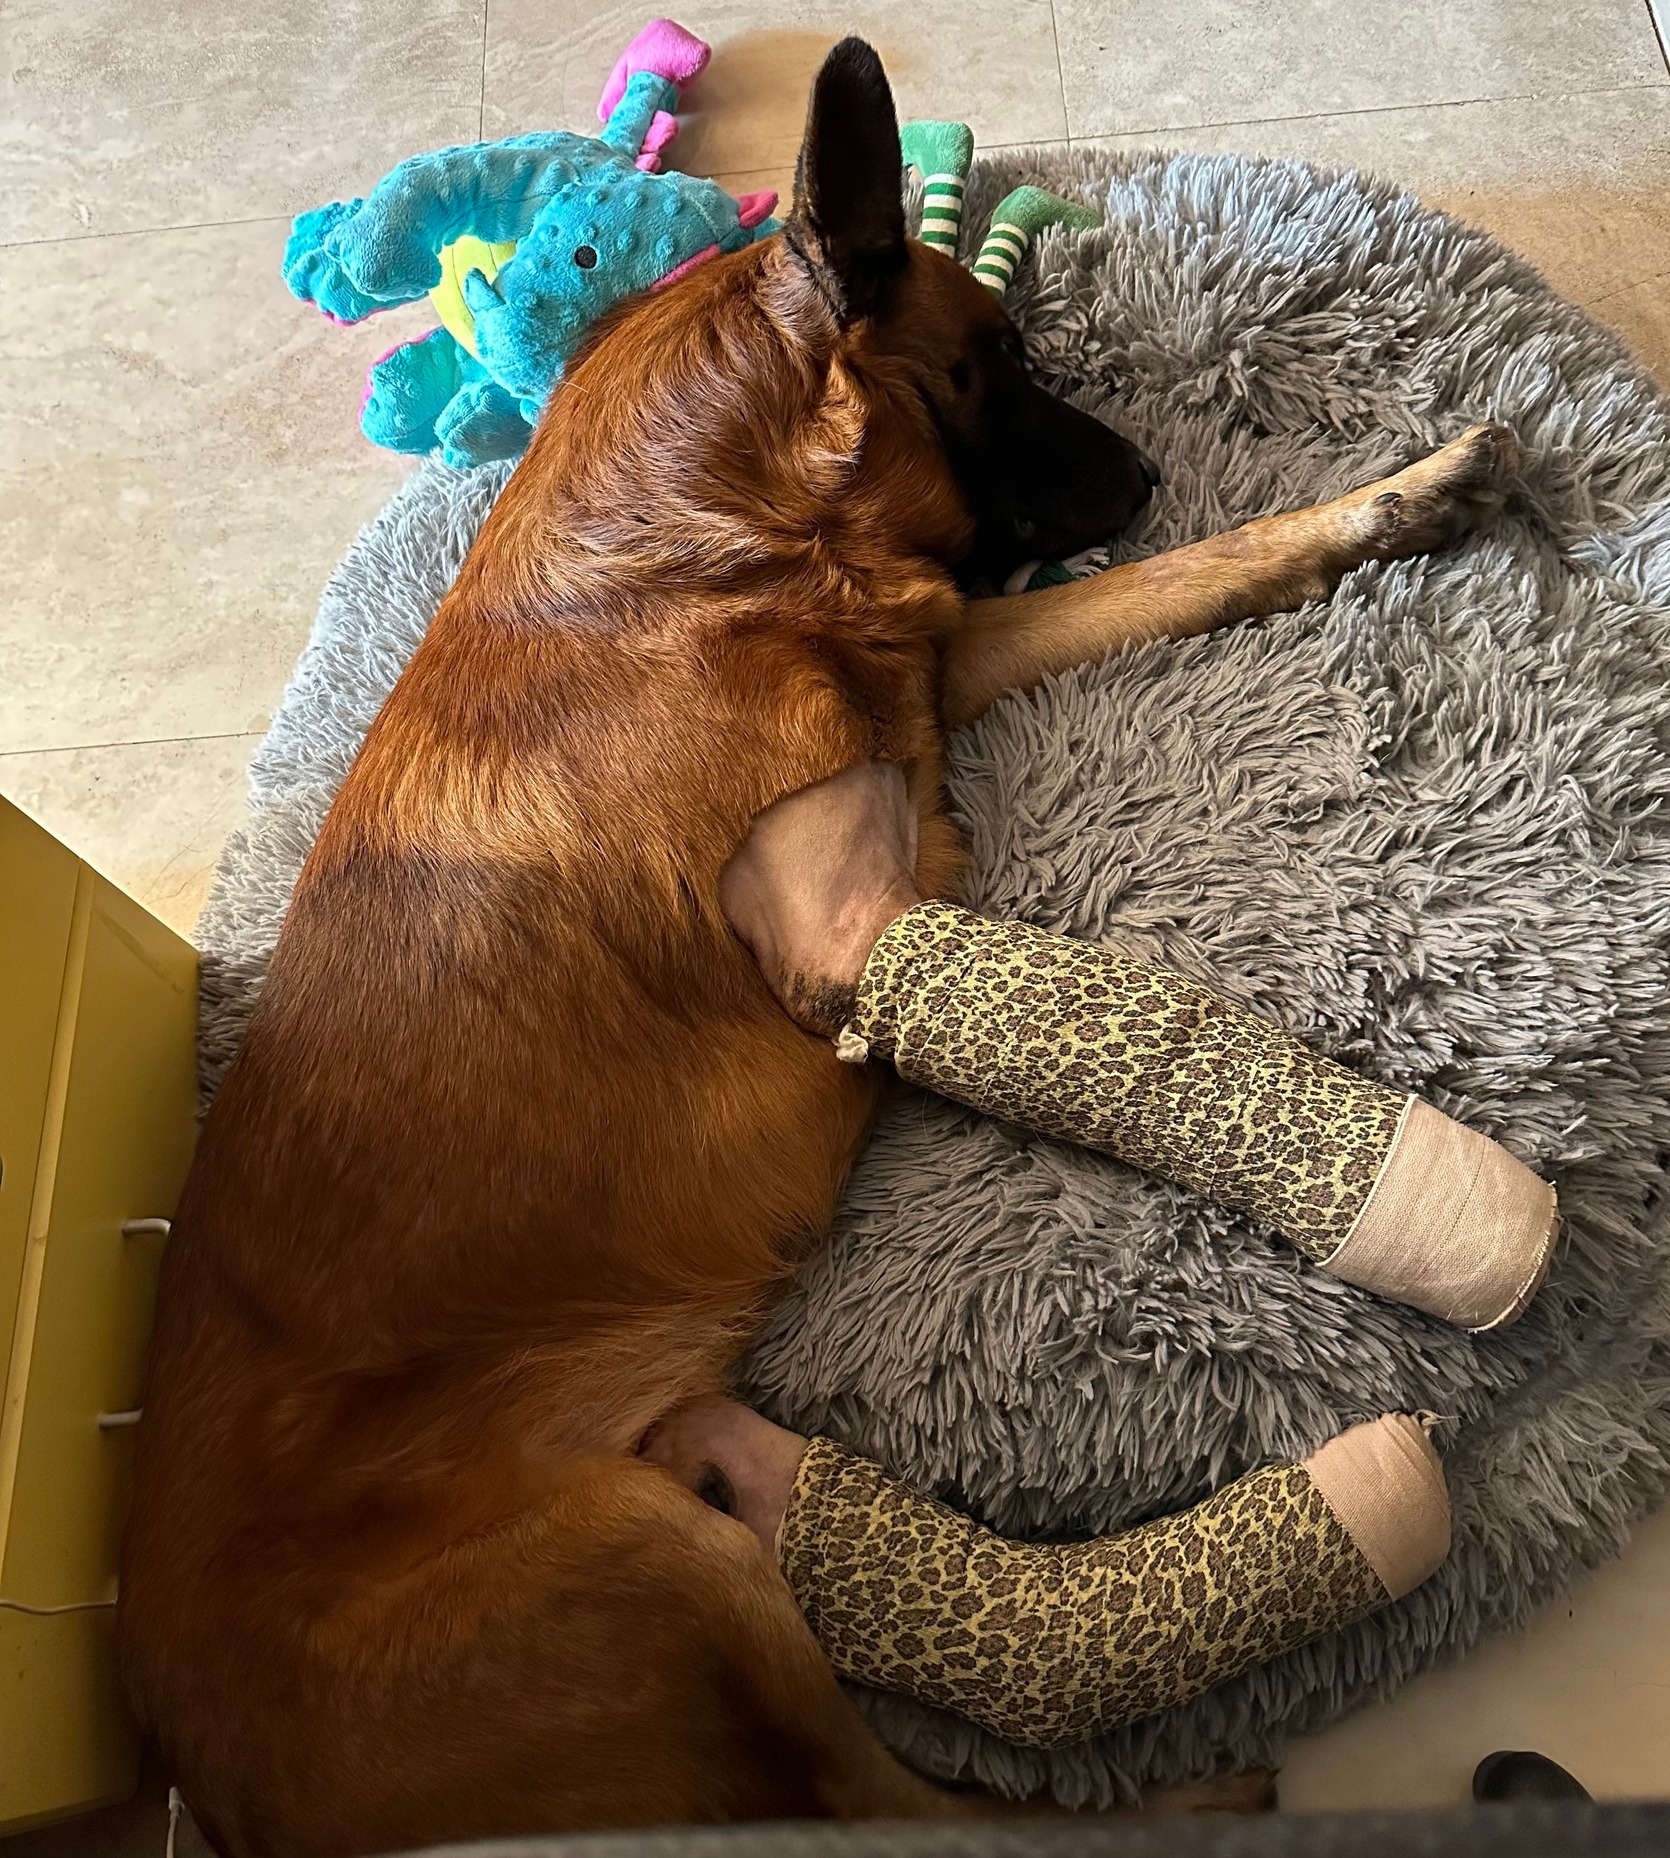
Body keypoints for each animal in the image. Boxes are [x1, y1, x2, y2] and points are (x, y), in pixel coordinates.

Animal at [124, 32, 1523, 1858]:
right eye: (992, 365)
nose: (1146, 476)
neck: (686, 541)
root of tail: (209, 1782)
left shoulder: (947, 664)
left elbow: (1181, 578)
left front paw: (1392, 503)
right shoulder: (848, 918)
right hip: (663, 1565)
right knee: (902, 1802)